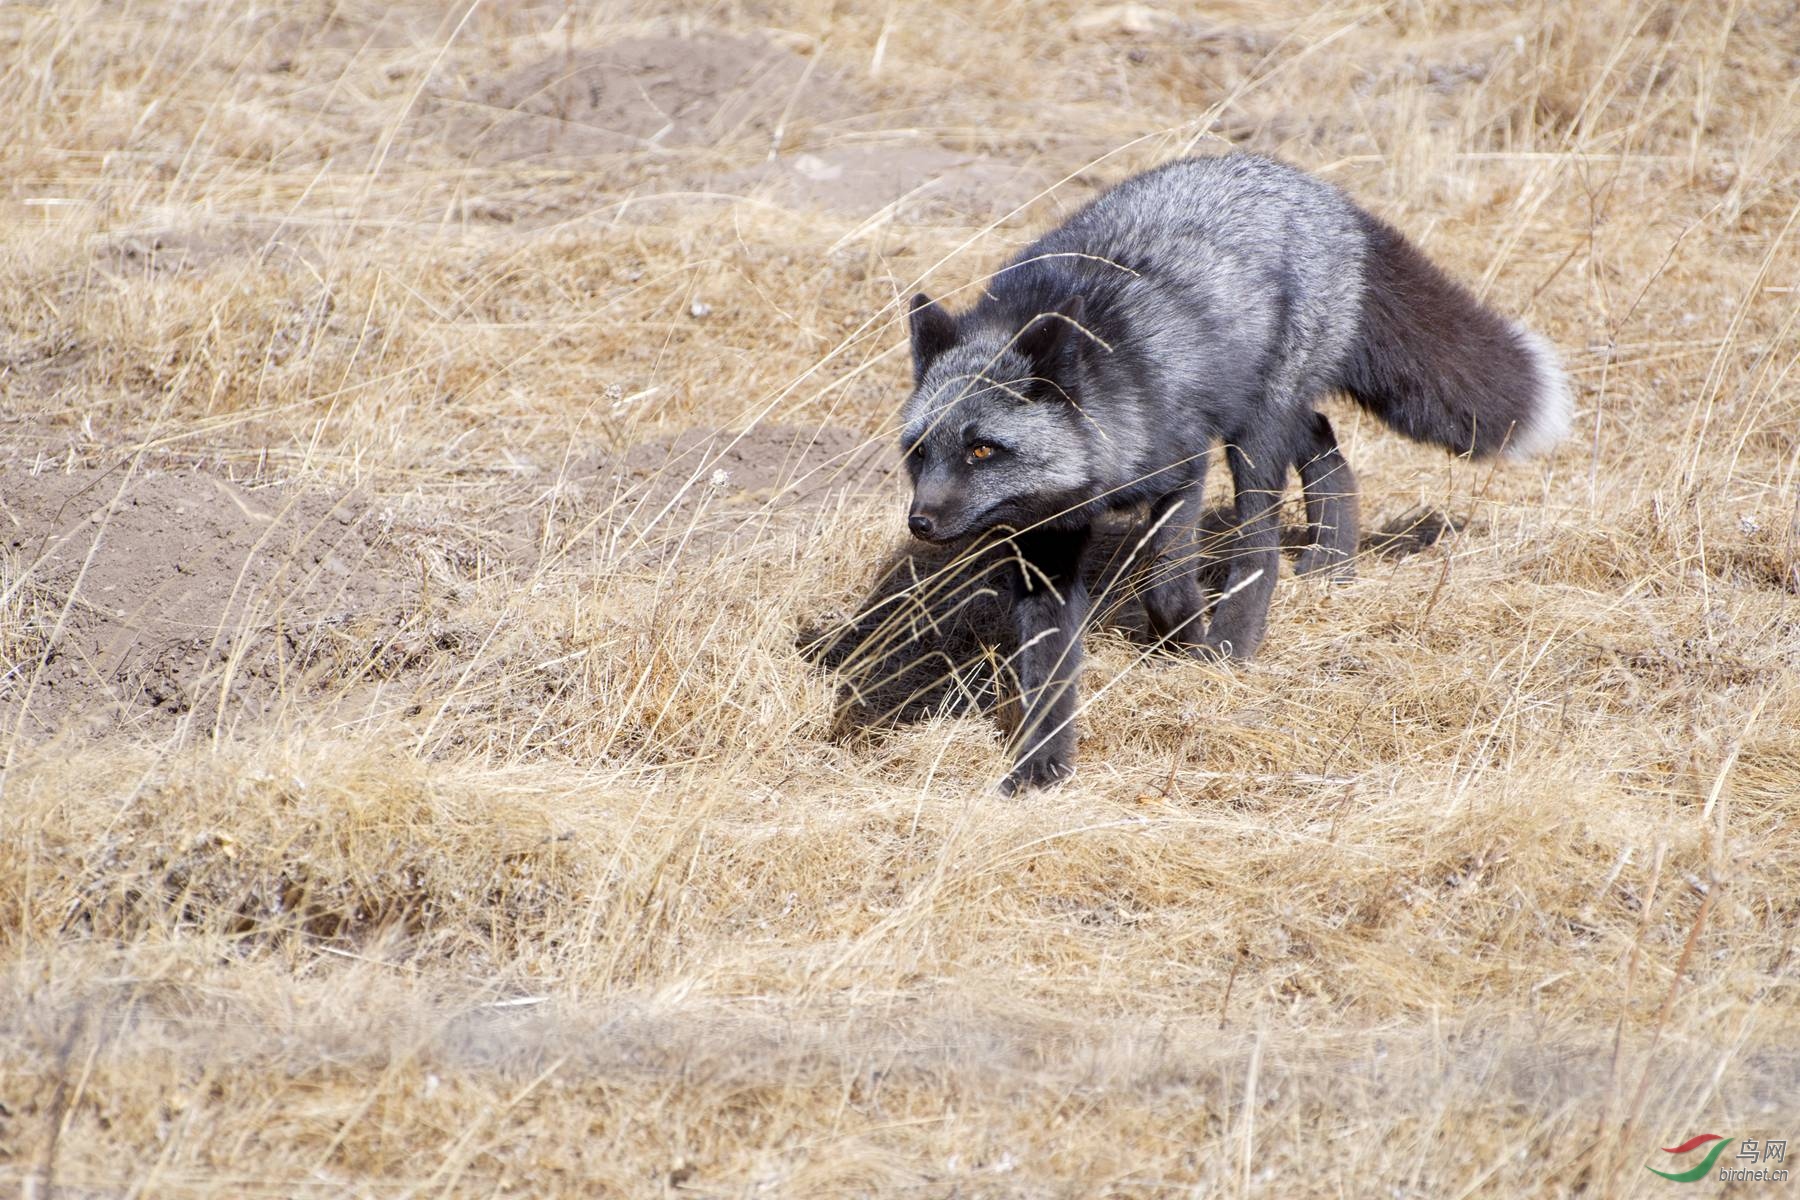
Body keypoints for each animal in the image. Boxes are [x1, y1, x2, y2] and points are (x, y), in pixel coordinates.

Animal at [900, 152, 1576, 788]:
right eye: (918, 453)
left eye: (983, 449)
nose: (919, 523)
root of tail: (1319, 191)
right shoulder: (1045, 541)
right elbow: (1046, 670)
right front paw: (1042, 764)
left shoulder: (1183, 467)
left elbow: (1166, 582)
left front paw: (1187, 643)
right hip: (1267, 415)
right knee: (1323, 438)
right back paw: (1333, 558)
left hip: (1254, 434)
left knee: (1263, 542)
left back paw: (1236, 637)